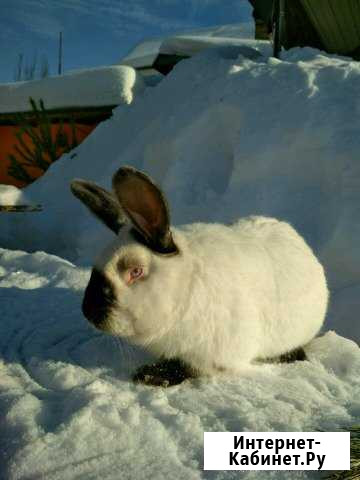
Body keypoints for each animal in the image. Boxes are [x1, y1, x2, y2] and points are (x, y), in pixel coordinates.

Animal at [70, 167, 330, 384]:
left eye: (135, 271)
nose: (87, 310)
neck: (185, 289)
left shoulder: (216, 355)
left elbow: (190, 369)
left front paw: (150, 376)